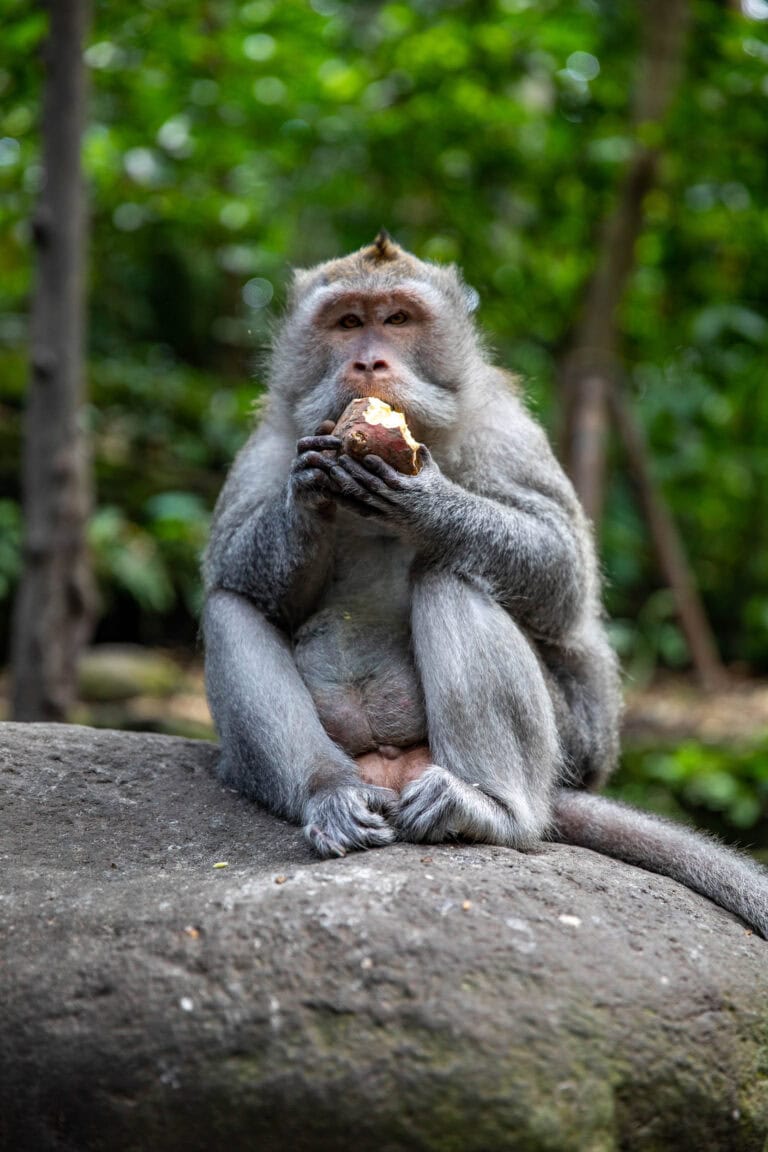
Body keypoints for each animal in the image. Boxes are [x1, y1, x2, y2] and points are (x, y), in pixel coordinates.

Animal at [202, 231, 768, 935]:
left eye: (398, 319)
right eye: (348, 322)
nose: (368, 363)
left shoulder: (504, 427)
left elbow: (561, 571)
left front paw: (428, 504)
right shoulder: (270, 439)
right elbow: (237, 571)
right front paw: (306, 494)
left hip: (566, 743)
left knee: (453, 572)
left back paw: (491, 808)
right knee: (230, 608)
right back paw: (329, 796)